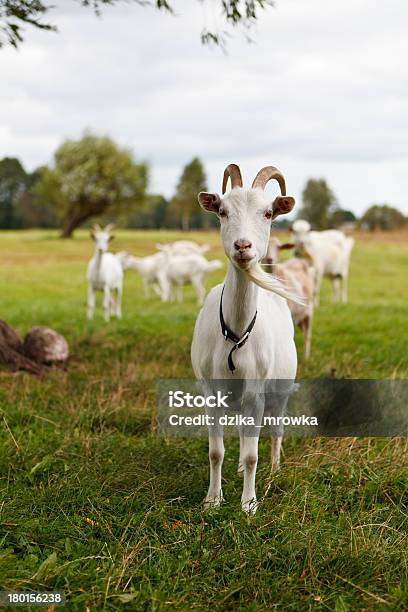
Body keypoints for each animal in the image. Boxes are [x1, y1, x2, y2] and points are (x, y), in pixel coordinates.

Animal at [190, 163, 300, 512]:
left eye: (268, 213)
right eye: (222, 211)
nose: (242, 246)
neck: (236, 333)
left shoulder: (256, 391)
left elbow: (254, 454)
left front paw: (249, 504)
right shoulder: (211, 391)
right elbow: (216, 451)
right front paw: (212, 500)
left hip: (280, 389)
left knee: (276, 429)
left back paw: (275, 469)